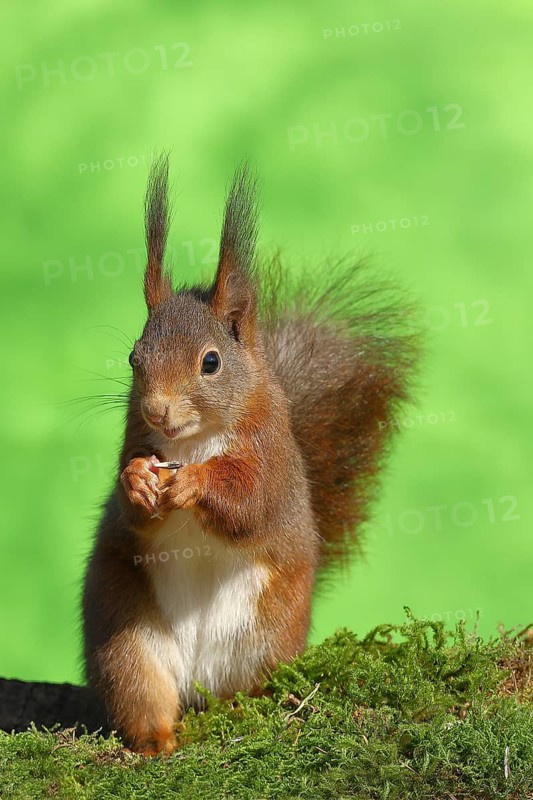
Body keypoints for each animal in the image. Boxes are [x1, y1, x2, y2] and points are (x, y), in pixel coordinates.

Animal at [82, 155, 419, 756]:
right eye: (133, 357)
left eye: (211, 362)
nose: (157, 411)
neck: (193, 442)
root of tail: (198, 683)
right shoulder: (134, 437)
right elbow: (131, 514)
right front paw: (139, 481)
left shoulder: (272, 454)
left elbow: (250, 503)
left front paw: (193, 485)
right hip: (127, 637)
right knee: (141, 692)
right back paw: (156, 740)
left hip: (265, 639)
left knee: (246, 691)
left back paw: (243, 713)